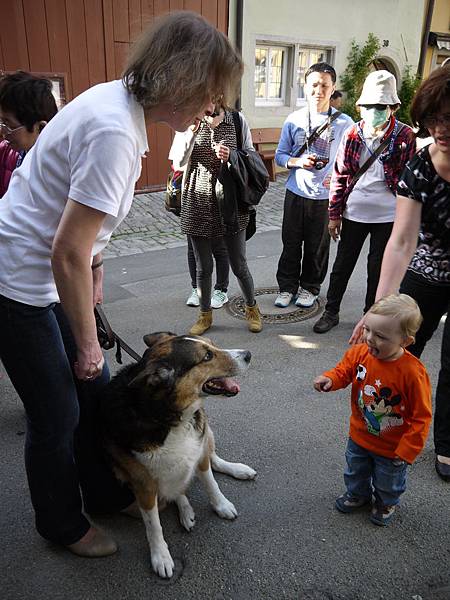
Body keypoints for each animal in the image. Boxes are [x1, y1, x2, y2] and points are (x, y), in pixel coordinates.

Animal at [97, 330, 256, 580]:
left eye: (212, 345)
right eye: (207, 356)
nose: (248, 354)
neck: (168, 416)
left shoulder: (199, 452)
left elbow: (211, 482)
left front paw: (221, 505)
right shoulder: (143, 484)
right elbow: (153, 525)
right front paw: (160, 556)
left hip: (206, 434)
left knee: (214, 461)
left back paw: (238, 470)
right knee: (176, 491)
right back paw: (186, 511)